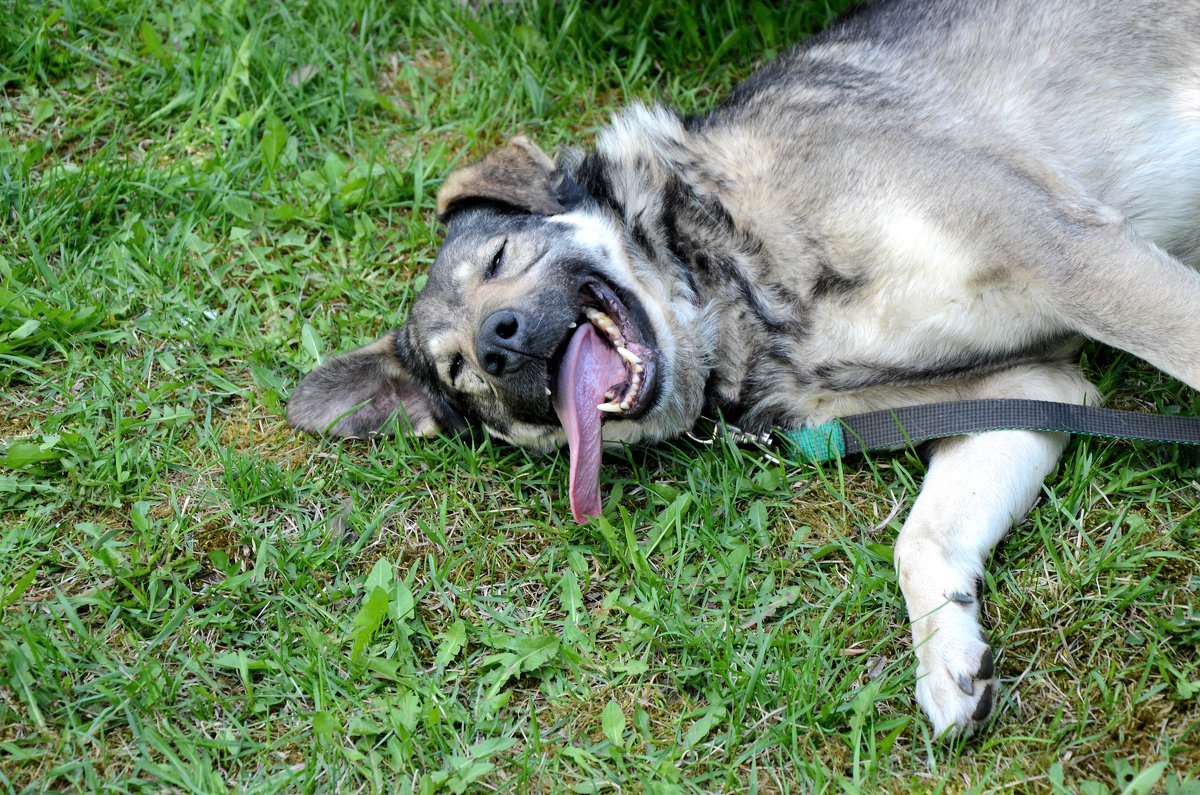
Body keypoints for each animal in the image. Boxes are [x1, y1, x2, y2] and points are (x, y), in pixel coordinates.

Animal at [285, 0, 1200, 739]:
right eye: (462, 374)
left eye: (501, 259)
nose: (501, 346)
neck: (732, 287)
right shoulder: (1035, 389)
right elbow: (919, 539)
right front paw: (948, 657)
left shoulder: (1070, 254)